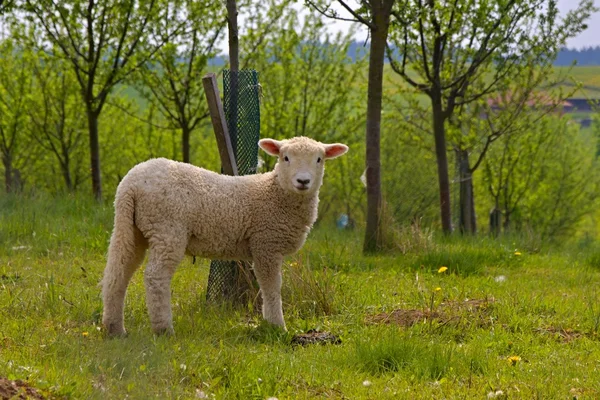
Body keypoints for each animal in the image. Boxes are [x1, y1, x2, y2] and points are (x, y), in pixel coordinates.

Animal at [101, 136, 350, 336]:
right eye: (285, 157)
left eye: (319, 159)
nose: (303, 181)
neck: (276, 193)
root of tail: (130, 184)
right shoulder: (266, 243)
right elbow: (271, 286)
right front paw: (277, 326)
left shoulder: (263, 245)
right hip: (167, 228)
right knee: (155, 276)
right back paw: (163, 329)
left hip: (132, 227)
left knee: (117, 273)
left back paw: (115, 329)